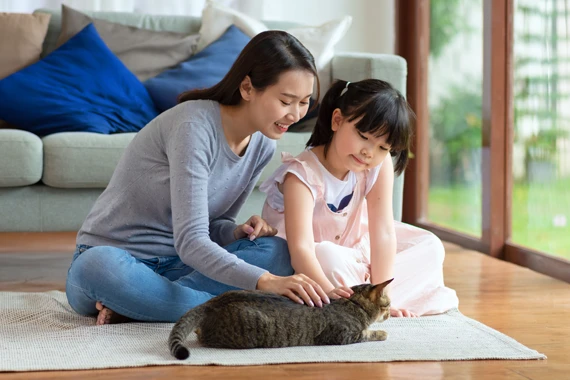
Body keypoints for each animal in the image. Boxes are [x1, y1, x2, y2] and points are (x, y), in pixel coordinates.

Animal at [166, 278, 392, 358]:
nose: (391, 312)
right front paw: (382, 332)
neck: (352, 303)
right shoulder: (343, 335)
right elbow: (368, 333)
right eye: (388, 304)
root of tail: (212, 302)